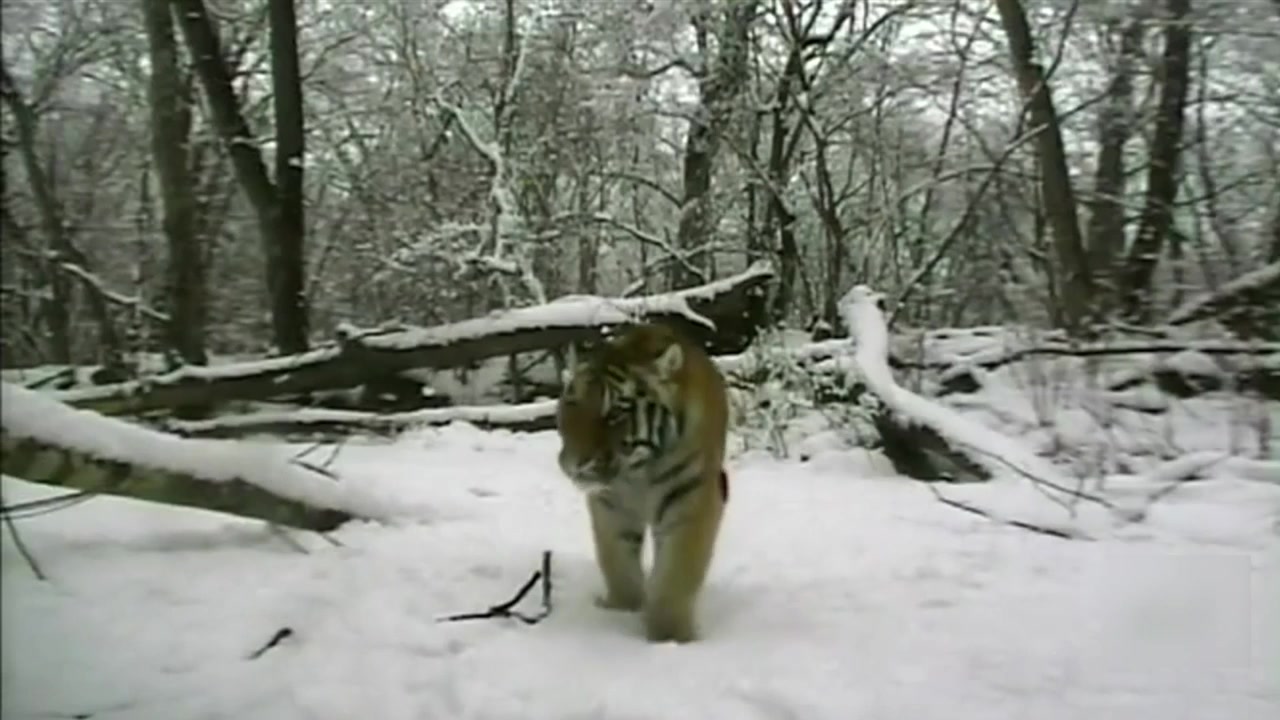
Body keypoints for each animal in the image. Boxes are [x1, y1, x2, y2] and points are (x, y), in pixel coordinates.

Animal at [552, 322, 732, 640]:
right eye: (572, 404)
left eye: (614, 413)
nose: (574, 464)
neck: (638, 471)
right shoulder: (610, 505)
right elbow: (616, 561)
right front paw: (621, 610)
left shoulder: (691, 500)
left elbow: (675, 574)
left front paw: (669, 637)